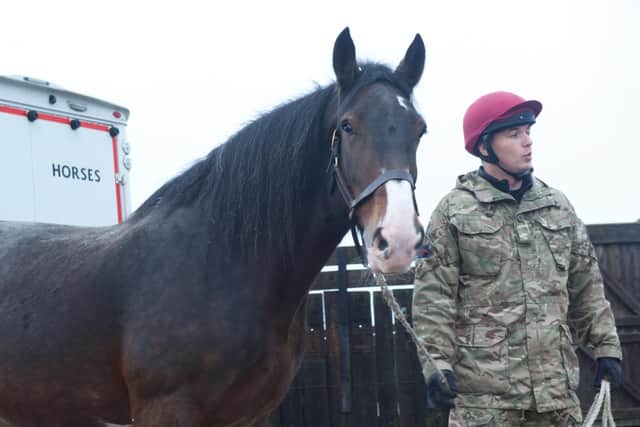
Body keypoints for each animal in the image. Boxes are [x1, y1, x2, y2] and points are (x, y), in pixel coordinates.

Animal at [0, 27, 426, 427]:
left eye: (420, 129)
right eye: (348, 126)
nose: (399, 239)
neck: (220, 262)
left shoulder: (253, 415)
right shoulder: (165, 411)